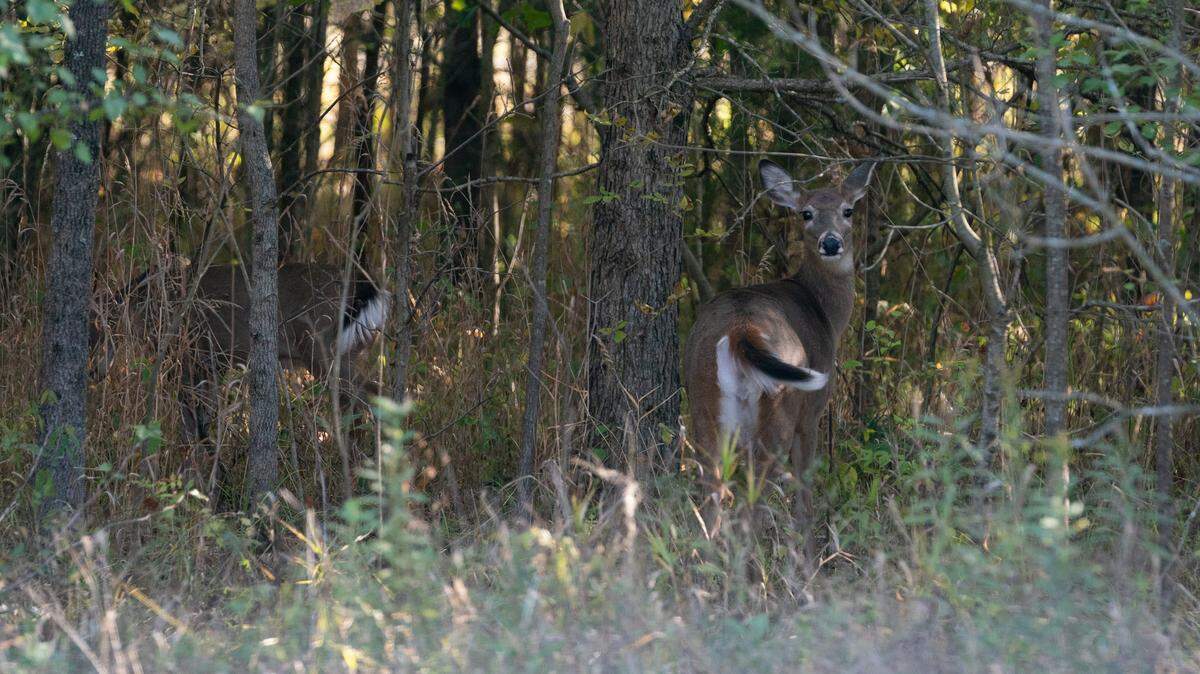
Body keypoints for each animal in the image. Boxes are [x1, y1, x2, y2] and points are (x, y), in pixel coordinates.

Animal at [683, 158, 875, 537]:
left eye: (847, 210)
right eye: (806, 213)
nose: (831, 243)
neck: (824, 311)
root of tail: (741, 330)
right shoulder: (812, 412)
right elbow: (805, 492)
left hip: (702, 402)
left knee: (713, 496)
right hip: (780, 412)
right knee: (751, 502)